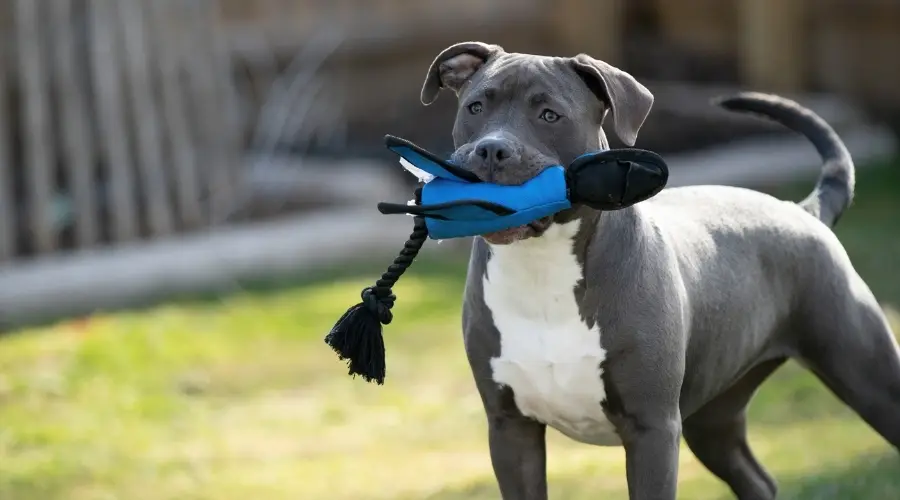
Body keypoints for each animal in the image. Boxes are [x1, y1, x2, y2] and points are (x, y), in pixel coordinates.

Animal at [416, 42, 900, 500]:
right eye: (475, 107)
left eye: (549, 114)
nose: (491, 149)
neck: (541, 266)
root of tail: (804, 210)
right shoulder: (510, 428)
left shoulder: (653, 431)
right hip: (713, 417)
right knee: (757, 481)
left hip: (867, 375)